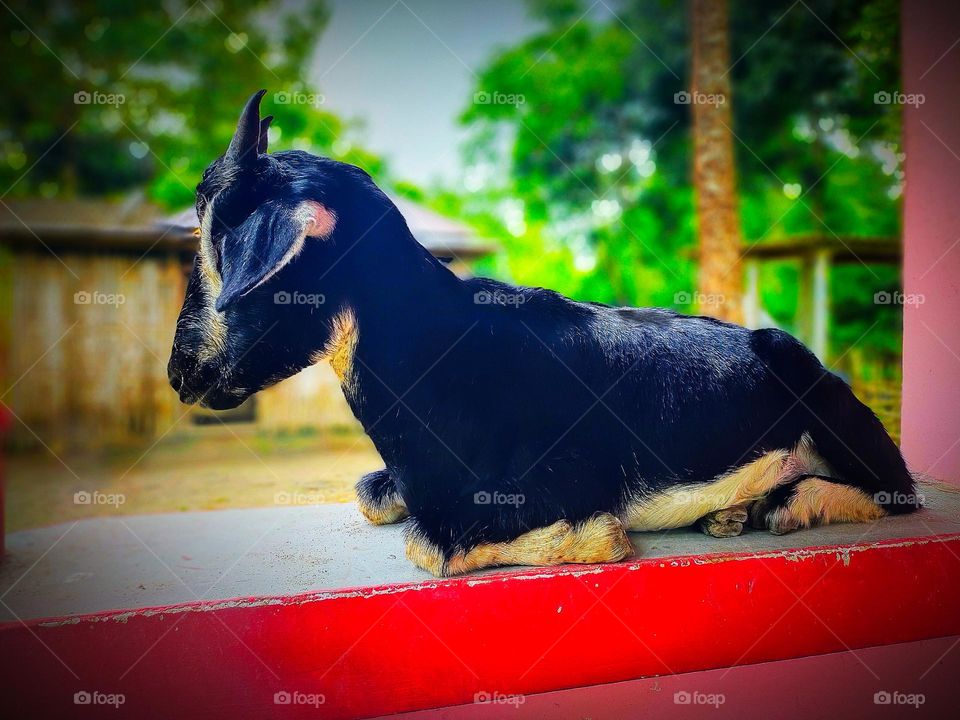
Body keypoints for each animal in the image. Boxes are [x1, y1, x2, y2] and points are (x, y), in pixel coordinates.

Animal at [168, 91, 920, 577]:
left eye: (223, 242)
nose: (180, 374)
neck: (437, 359)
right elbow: (371, 495)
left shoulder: (558, 482)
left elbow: (433, 546)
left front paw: (598, 537)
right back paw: (731, 514)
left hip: (834, 404)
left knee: (896, 492)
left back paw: (783, 504)